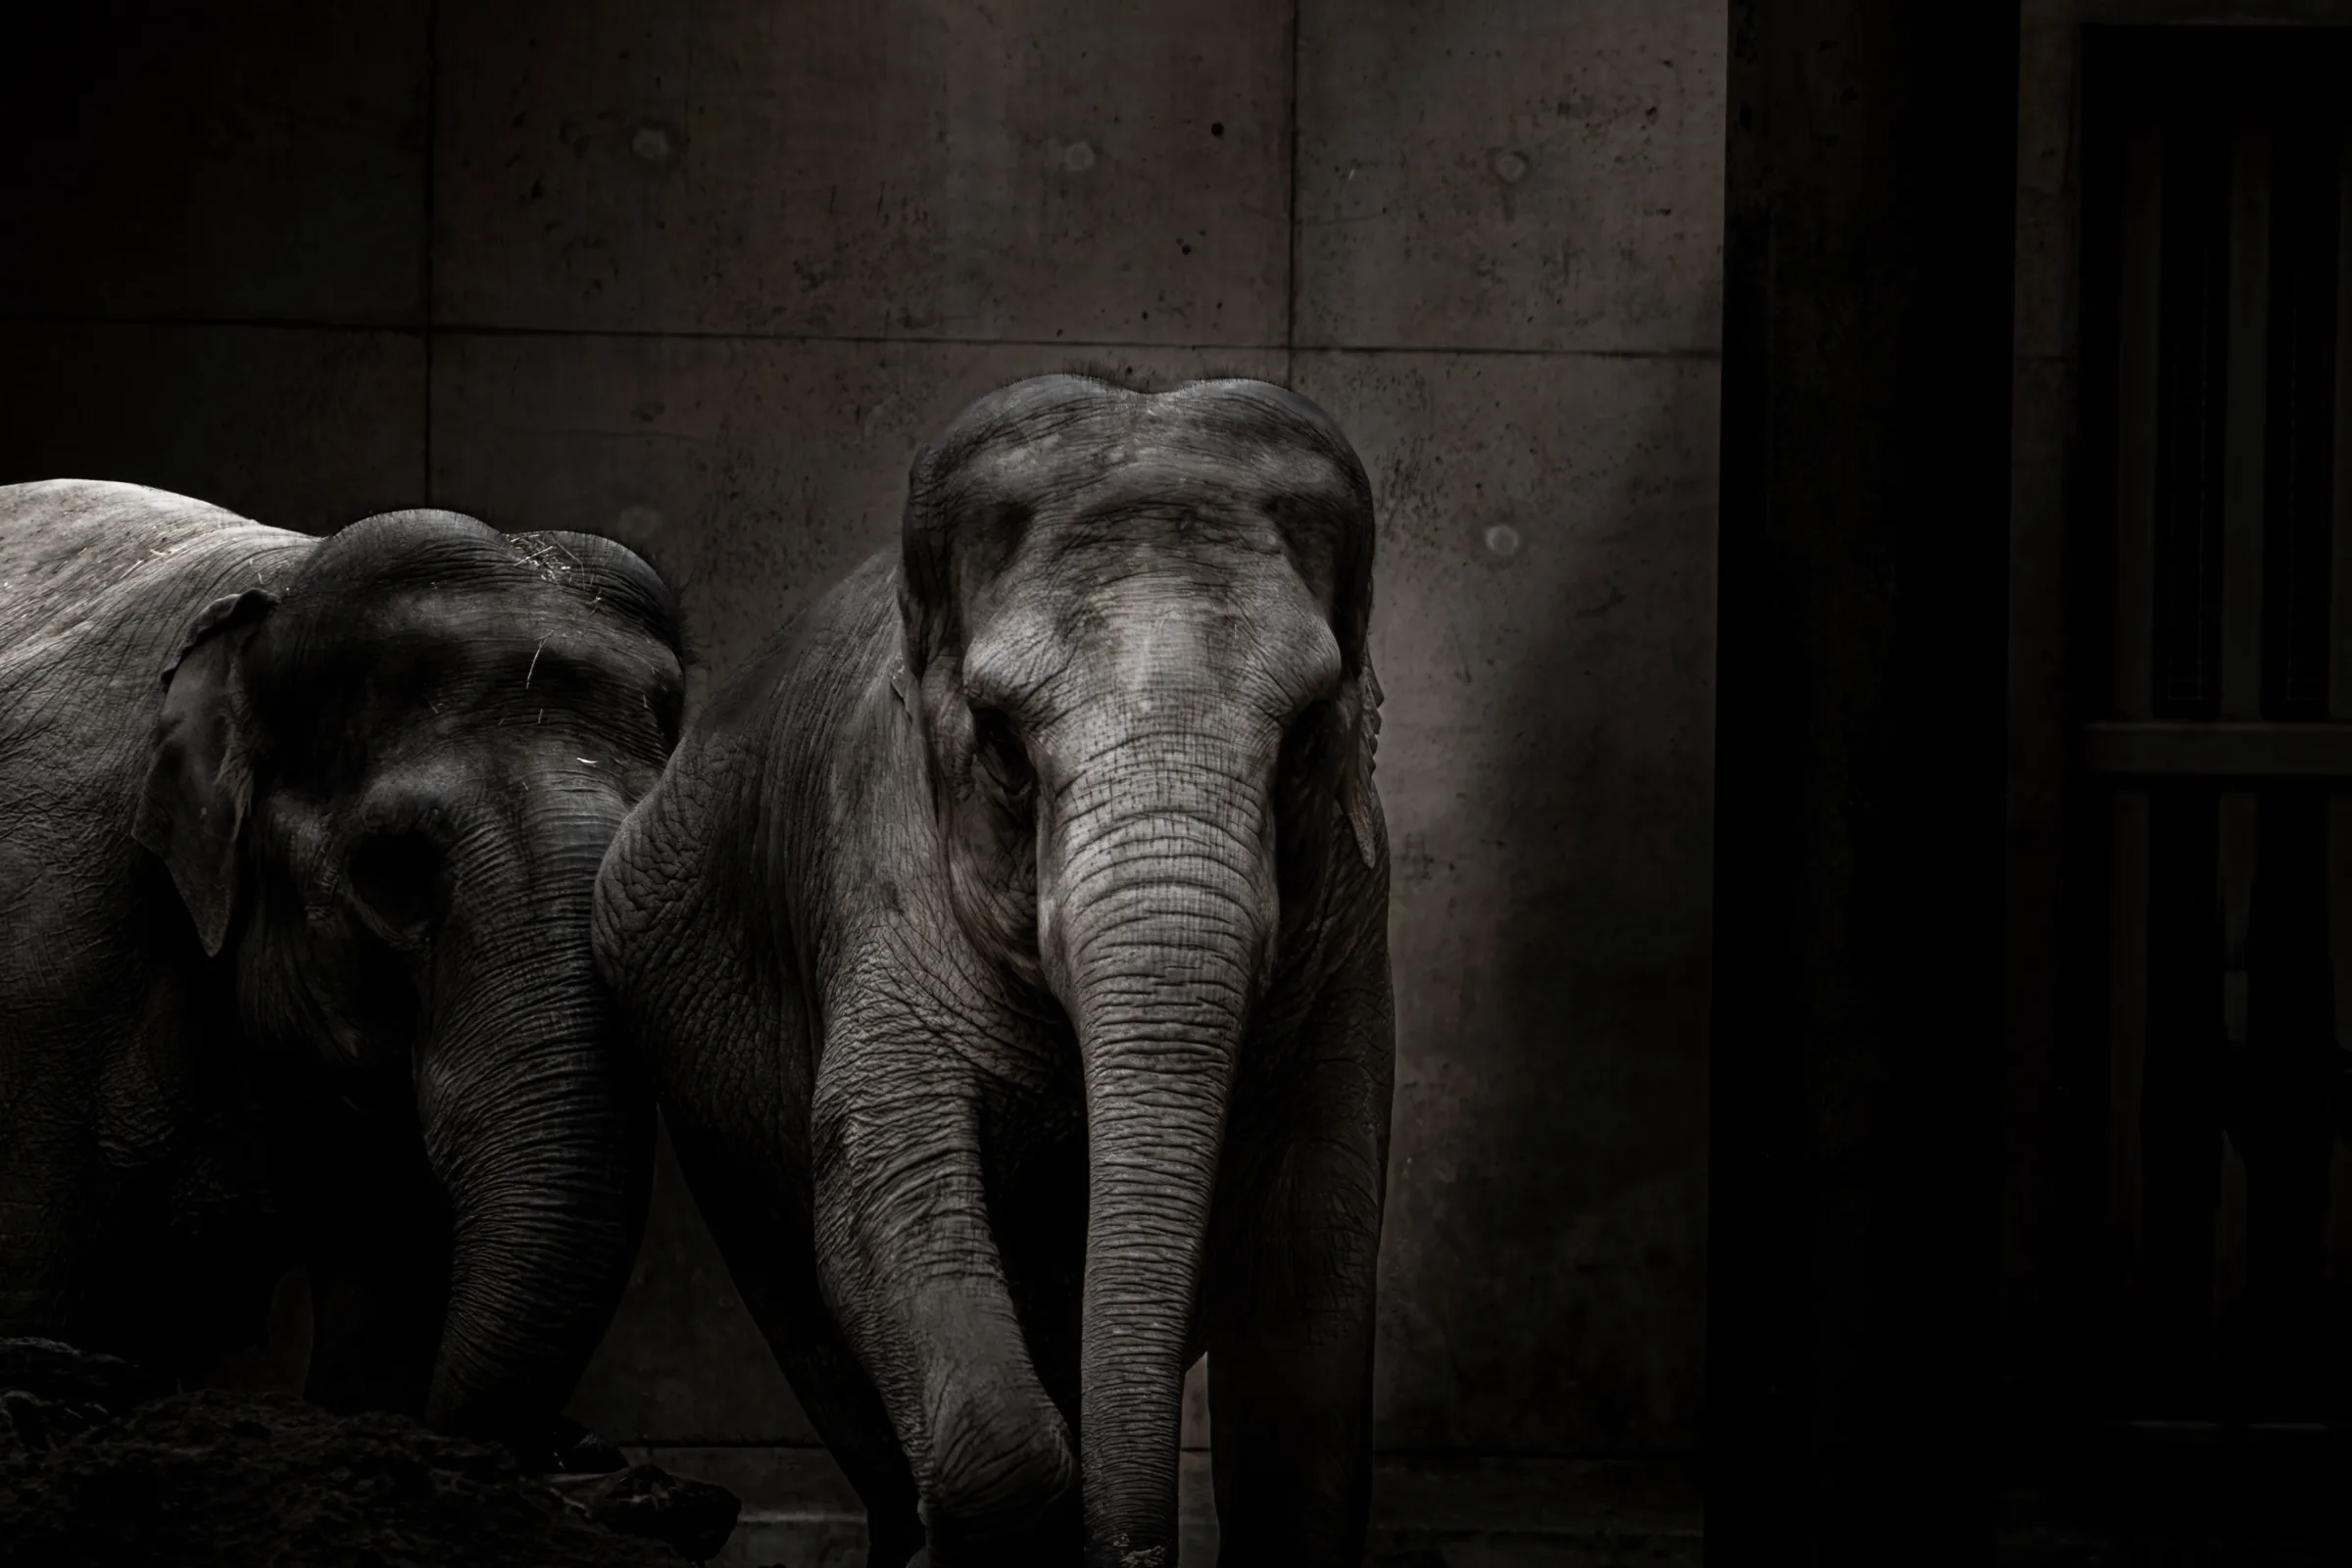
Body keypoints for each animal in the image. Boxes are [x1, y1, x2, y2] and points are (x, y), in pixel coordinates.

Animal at [593, 373, 1395, 1566]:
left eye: (1304, 740)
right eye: (1006, 744)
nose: (1138, 1554)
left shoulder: (1351, 924)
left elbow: (1316, 1270)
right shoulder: (880, 858)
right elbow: (882, 1176)